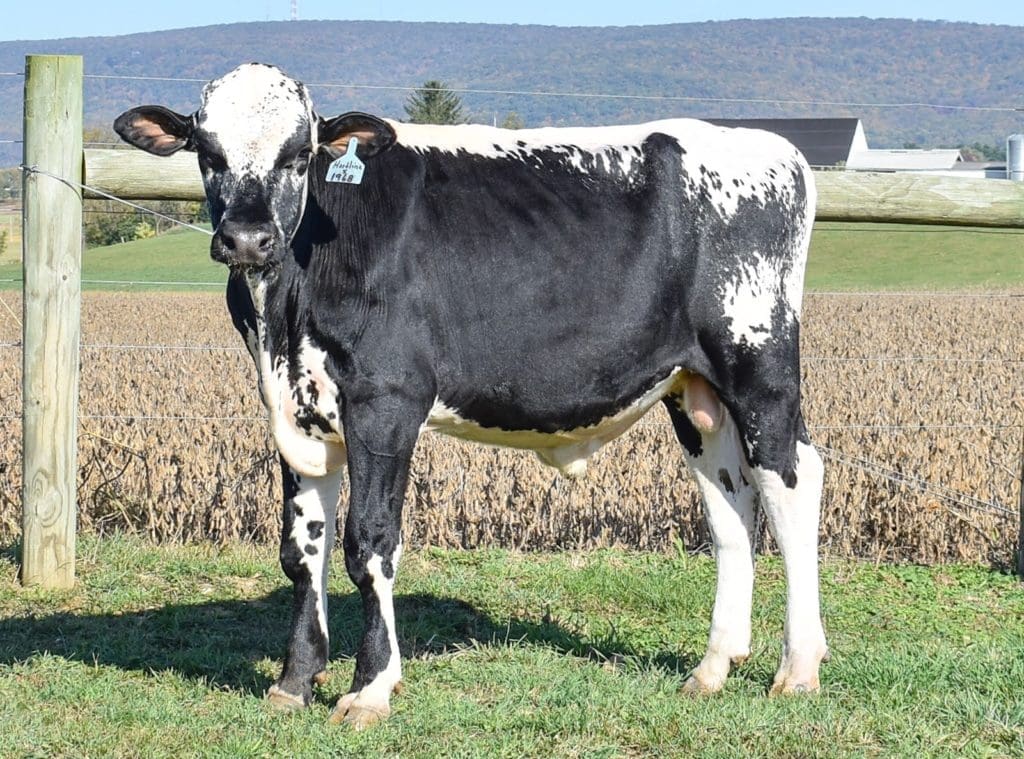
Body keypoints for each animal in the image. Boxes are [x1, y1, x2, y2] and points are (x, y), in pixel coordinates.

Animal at [114, 63, 828, 728]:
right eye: (207, 152)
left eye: (299, 154)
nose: (247, 238)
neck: (285, 312)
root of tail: (768, 147)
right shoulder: (295, 411)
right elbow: (301, 551)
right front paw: (295, 680)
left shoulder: (386, 404)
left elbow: (369, 544)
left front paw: (370, 687)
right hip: (693, 390)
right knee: (731, 505)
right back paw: (713, 666)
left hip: (759, 366)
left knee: (791, 482)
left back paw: (798, 667)